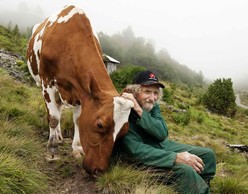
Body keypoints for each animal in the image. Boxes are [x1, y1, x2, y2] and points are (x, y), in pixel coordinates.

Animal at [26, 4, 134, 177]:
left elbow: (77, 119)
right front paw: (52, 150)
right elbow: (53, 118)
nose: (99, 170)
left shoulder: (80, 92)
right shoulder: (47, 82)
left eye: (124, 132)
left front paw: (77, 149)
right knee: (54, 113)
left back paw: (60, 136)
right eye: (100, 125)